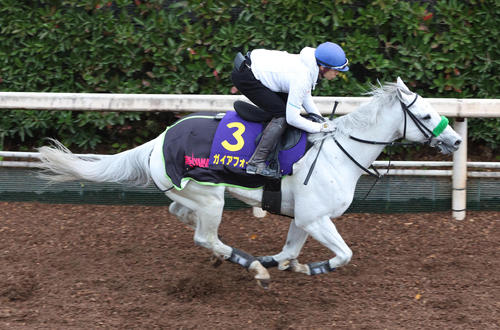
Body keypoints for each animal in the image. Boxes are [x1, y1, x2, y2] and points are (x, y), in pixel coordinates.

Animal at [38, 78, 460, 288]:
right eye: (425, 114)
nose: (455, 141)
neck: (337, 152)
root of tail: (156, 142)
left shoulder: (302, 218)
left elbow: (289, 252)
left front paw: (287, 264)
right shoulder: (315, 218)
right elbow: (343, 255)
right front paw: (305, 268)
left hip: (192, 194)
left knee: (182, 215)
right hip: (211, 199)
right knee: (204, 235)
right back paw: (249, 266)